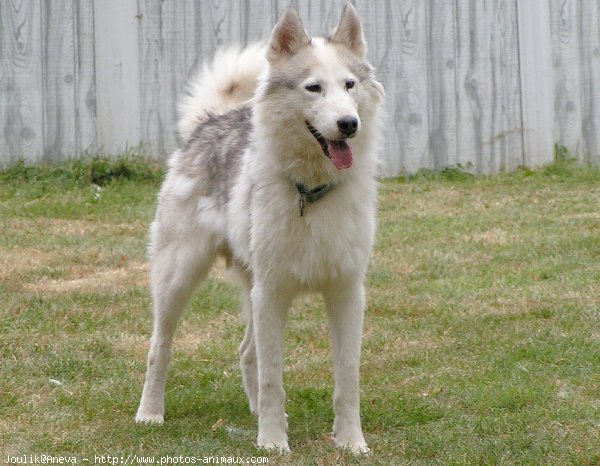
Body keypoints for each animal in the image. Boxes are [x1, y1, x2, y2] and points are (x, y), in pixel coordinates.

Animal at [136, 2, 384, 456]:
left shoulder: (345, 293)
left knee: (246, 351)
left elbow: (347, 379)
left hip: (249, 290)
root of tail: (210, 120)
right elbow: (274, 380)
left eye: (349, 84)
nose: (348, 123)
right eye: (313, 88)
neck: (310, 192)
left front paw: (350, 441)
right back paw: (150, 413)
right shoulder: (273, 294)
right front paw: (272, 441)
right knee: (159, 348)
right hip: (178, 279)